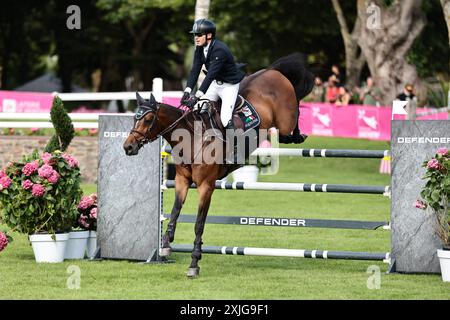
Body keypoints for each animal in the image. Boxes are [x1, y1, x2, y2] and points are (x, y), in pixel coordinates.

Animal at [123, 53, 312, 278]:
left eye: (148, 119)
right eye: (134, 118)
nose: (128, 147)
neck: (192, 138)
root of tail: (272, 71)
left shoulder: (206, 186)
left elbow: (199, 224)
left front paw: (194, 263)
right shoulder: (181, 180)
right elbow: (175, 211)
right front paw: (166, 244)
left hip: (285, 119)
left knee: (295, 113)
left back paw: (298, 135)